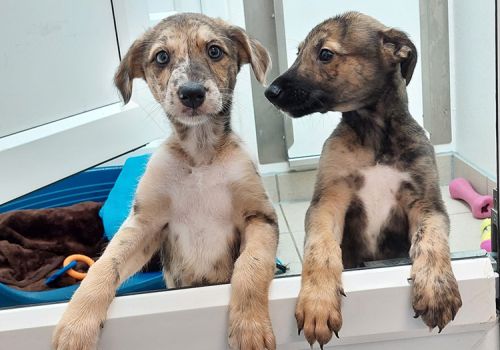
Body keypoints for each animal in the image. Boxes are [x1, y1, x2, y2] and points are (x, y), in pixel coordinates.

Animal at [55, 12, 282, 350]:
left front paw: (250, 326)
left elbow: (251, 266)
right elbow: (104, 265)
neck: (200, 155)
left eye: (214, 51)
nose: (192, 93)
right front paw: (76, 323)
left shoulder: (259, 216)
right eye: (161, 57)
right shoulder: (145, 223)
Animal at [264, 12, 462, 348]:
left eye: (325, 54)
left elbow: (432, 241)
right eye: (298, 52)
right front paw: (318, 302)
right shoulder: (328, 200)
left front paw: (437, 290)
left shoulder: (427, 203)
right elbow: (321, 248)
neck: (374, 135)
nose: (270, 92)